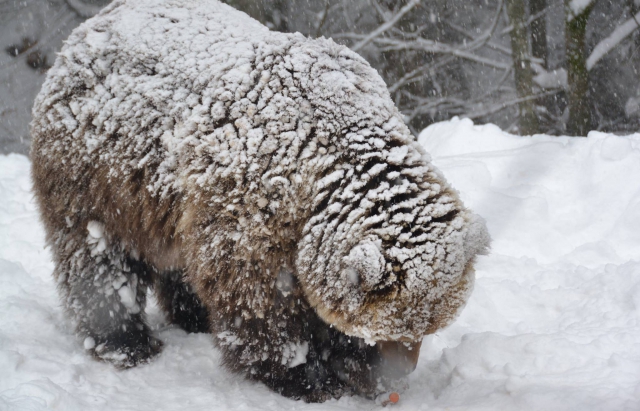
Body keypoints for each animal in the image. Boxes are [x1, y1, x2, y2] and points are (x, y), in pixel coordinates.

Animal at [30, 0, 490, 404]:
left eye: (429, 328)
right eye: (391, 332)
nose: (400, 372)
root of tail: (87, 28)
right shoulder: (253, 209)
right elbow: (261, 304)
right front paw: (305, 375)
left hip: (162, 198)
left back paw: (192, 316)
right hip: (97, 178)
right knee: (98, 259)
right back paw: (125, 341)